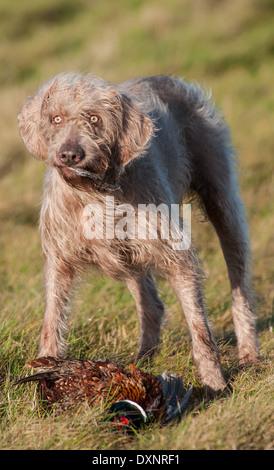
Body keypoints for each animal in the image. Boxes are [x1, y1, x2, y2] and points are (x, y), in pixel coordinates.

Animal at [18, 73, 260, 394]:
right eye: (55, 118)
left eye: (94, 118)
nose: (70, 154)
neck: (95, 192)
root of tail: (166, 78)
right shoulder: (60, 261)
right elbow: (52, 320)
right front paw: (44, 372)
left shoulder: (175, 253)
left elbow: (199, 326)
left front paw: (214, 382)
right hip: (128, 259)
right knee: (153, 305)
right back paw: (141, 360)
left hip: (223, 205)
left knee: (239, 287)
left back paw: (249, 354)